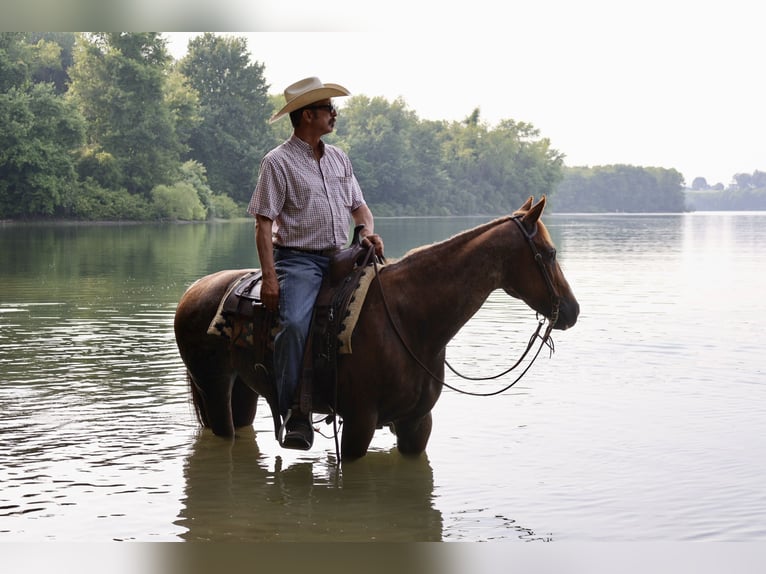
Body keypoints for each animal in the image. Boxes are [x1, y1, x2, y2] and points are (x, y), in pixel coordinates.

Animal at [173, 196, 579, 460]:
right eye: (549, 253)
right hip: (213, 387)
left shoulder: (417, 424)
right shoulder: (358, 423)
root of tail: (192, 291)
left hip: (245, 389)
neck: (410, 319)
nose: (572, 311)